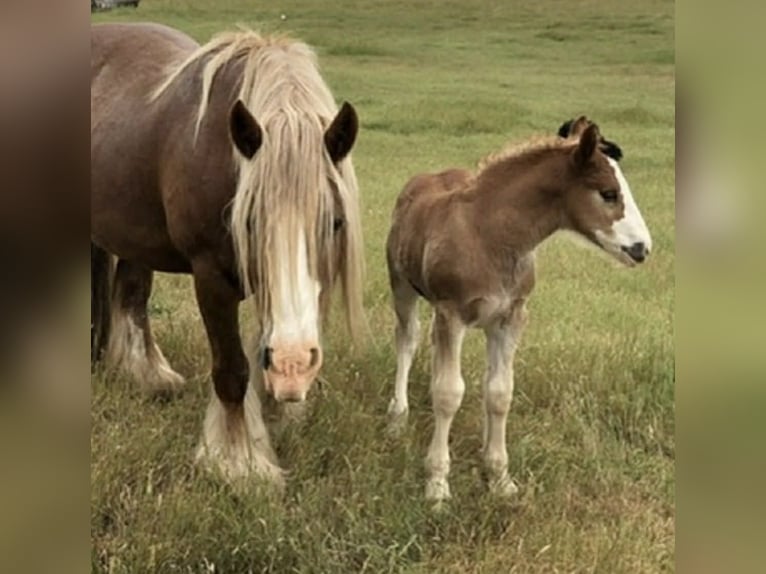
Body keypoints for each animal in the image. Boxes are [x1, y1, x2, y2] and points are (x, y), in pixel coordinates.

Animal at [91, 23, 365, 487]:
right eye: (249, 221)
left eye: (335, 222)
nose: (294, 364)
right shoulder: (211, 278)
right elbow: (233, 371)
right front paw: (241, 463)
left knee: (131, 294)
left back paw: (147, 375)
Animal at [385, 118, 652, 502]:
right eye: (608, 193)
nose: (642, 248)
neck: (491, 237)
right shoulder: (451, 314)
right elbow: (448, 393)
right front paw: (437, 485)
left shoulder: (510, 318)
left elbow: (499, 392)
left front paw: (499, 476)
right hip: (402, 286)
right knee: (407, 341)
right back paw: (397, 416)